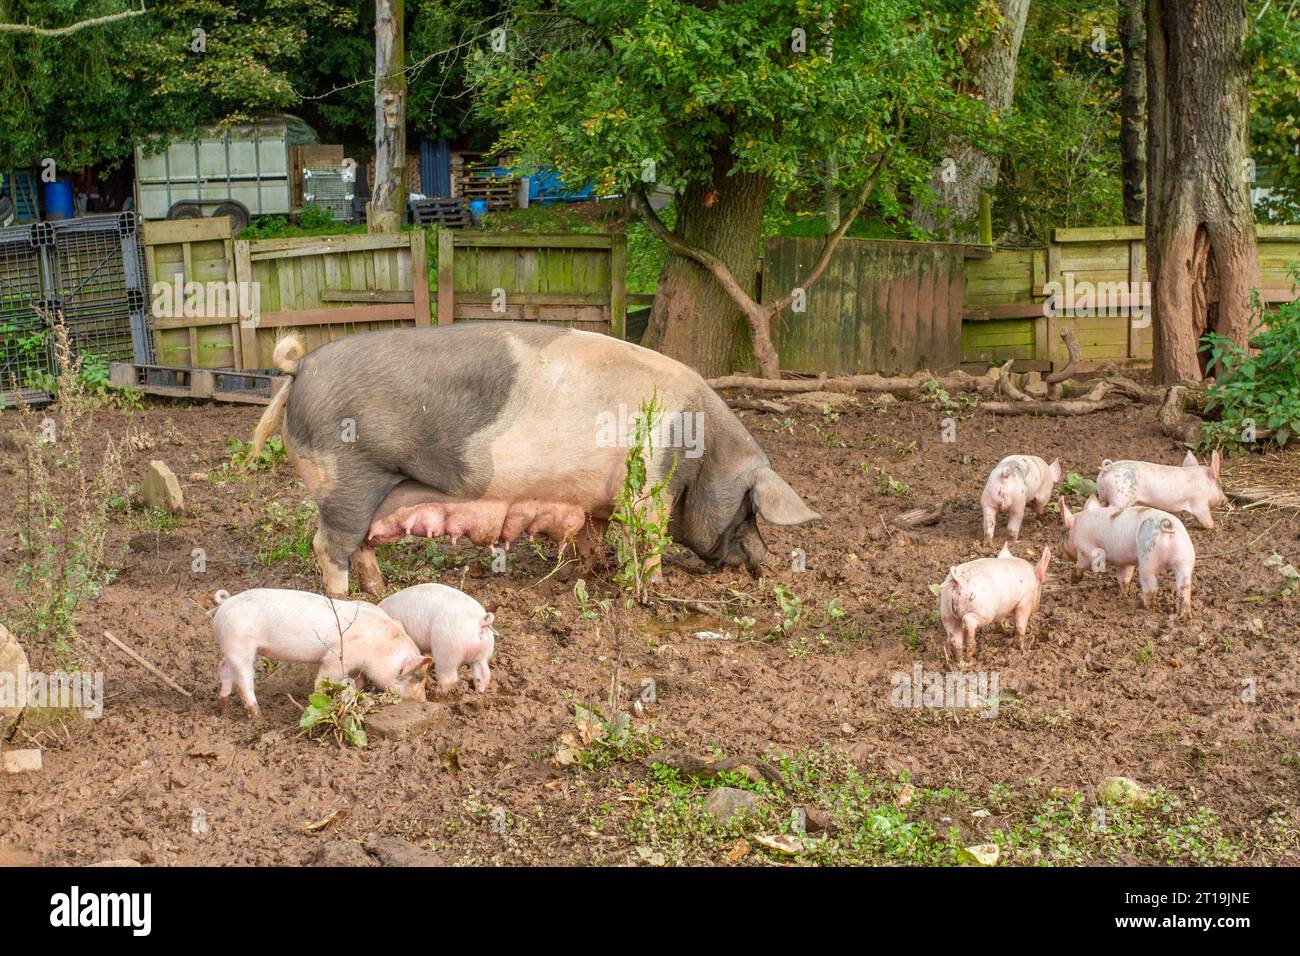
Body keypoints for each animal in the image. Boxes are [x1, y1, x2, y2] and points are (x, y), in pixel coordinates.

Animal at [250, 329, 821, 598]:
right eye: (749, 509)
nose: (766, 561)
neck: (704, 449)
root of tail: (300, 367)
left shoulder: (593, 498)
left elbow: (592, 531)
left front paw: (596, 568)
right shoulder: (650, 488)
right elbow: (649, 537)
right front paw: (653, 589)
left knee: (359, 543)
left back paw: (380, 591)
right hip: (344, 477)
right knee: (327, 544)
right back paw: (348, 602)